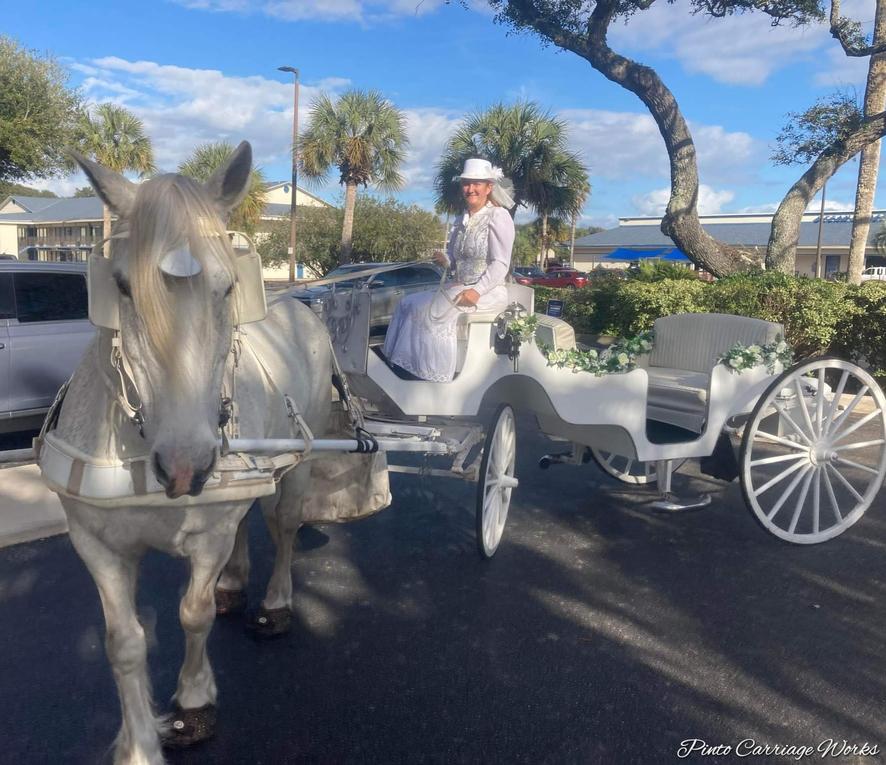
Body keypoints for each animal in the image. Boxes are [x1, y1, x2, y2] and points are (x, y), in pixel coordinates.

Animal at [43, 142, 332, 760]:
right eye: (122, 288)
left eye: (226, 287)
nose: (185, 468)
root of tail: (298, 303)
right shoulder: (96, 544)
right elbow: (123, 642)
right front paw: (138, 743)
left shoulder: (208, 534)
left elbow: (192, 616)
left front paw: (194, 703)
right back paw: (234, 583)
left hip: (302, 453)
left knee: (286, 523)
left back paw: (274, 603)